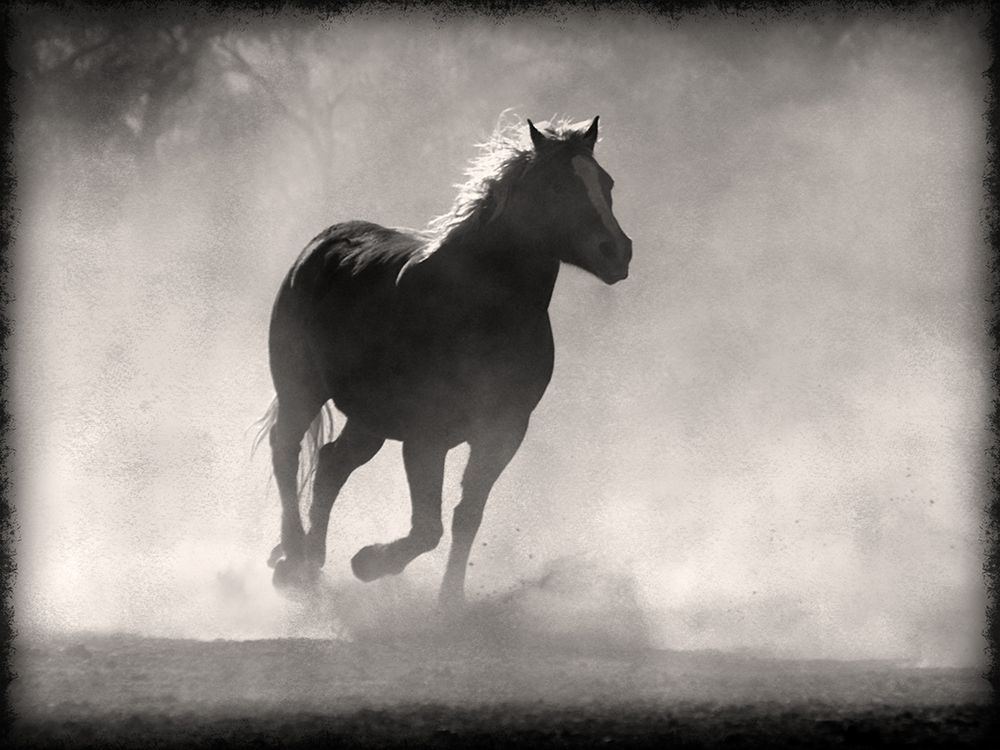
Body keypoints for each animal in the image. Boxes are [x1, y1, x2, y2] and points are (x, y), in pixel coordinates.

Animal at [256, 115, 632, 608]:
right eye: (556, 186)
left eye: (606, 183)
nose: (617, 252)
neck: (479, 309)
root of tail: (321, 244)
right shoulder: (426, 437)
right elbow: (427, 528)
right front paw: (370, 562)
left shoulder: (503, 432)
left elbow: (465, 516)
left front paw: (449, 601)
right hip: (301, 389)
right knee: (286, 450)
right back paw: (294, 558)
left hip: (370, 419)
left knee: (332, 463)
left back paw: (312, 565)